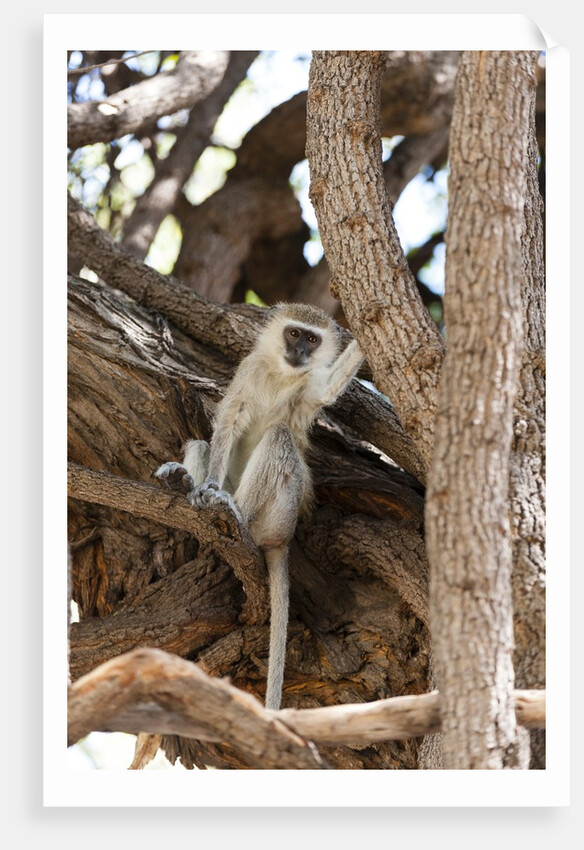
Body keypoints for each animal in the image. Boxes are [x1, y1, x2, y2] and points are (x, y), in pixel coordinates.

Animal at [155, 303, 363, 710]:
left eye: (312, 339)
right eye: (294, 334)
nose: (300, 352)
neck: (282, 375)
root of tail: (282, 538)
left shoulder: (309, 386)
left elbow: (327, 391)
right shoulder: (248, 370)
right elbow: (226, 424)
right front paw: (206, 484)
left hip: (279, 513)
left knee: (279, 438)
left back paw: (234, 512)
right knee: (202, 445)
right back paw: (189, 485)